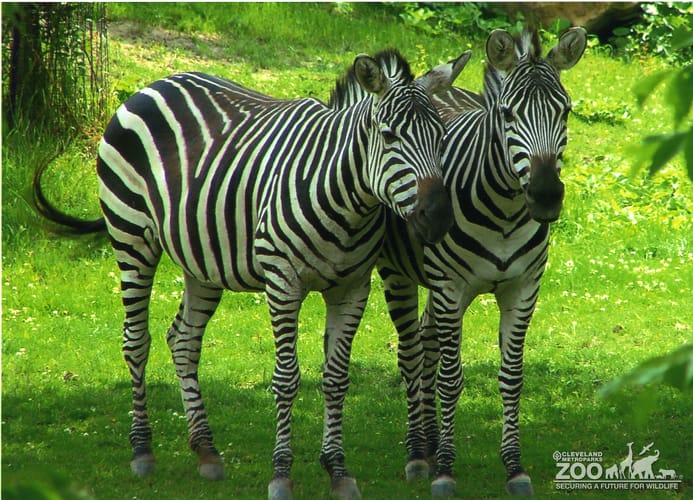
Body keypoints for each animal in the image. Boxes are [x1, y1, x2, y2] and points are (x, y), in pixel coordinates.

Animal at [33, 49, 472, 499]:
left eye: (441, 137)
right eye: (388, 136)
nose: (439, 218)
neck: (344, 198)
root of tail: (158, 83)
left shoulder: (352, 288)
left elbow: (336, 379)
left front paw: (337, 470)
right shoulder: (282, 281)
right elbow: (287, 378)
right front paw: (281, 474)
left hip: (202, 260)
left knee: (183, 340)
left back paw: (206, 451)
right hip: (131, 236)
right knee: (137, 341)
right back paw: (142, 450)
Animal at [329, 28, 587, 496]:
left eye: (566, 111)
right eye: (507, 113)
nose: (544, 196)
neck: (505, 213)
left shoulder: (523, 290)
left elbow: (511, 377)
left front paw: (514, 467)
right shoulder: (451, 288)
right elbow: (451, 378)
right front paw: (446, 469)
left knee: (428, 345)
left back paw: (430, 442)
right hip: (399, 275)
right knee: (413, 355)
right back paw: (419, 453)